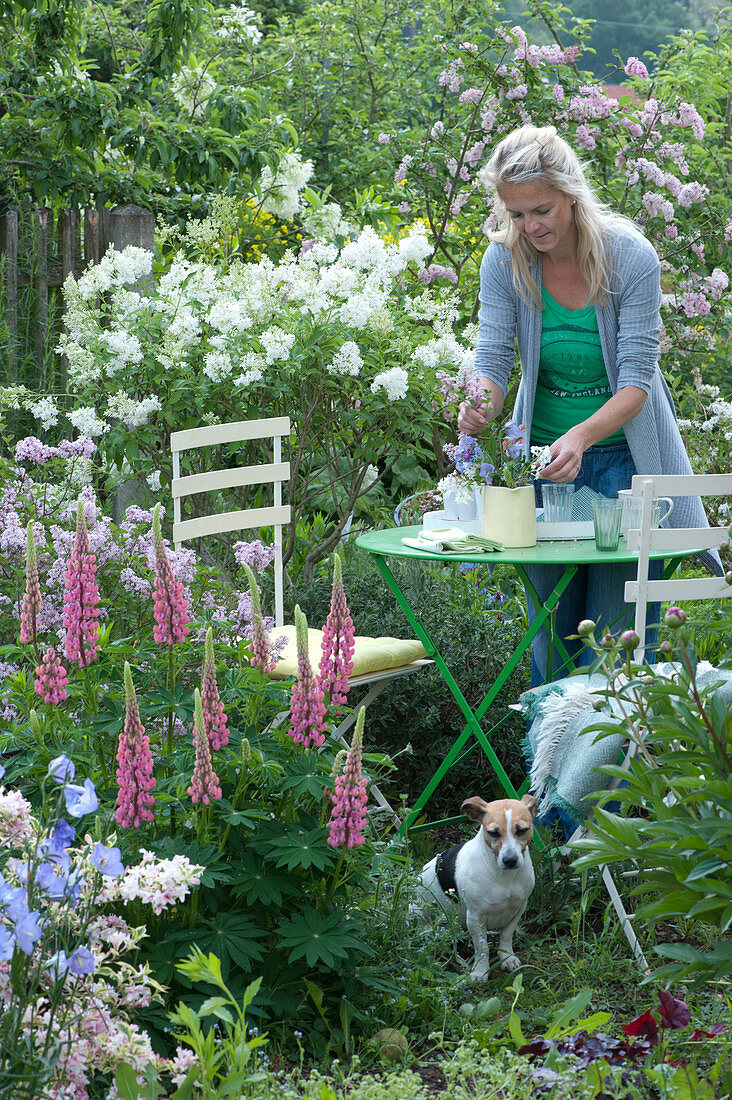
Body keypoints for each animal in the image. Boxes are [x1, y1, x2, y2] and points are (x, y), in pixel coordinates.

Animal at [416, 792, 537, 981]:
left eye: (522, 830)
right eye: (493, 832)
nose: (510, 860)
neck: (504, 877)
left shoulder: (518, 908)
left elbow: (506, 935)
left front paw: (507, 957)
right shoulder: (475, 918)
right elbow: (482, 948)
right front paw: (481, 971)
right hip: (419, 912)